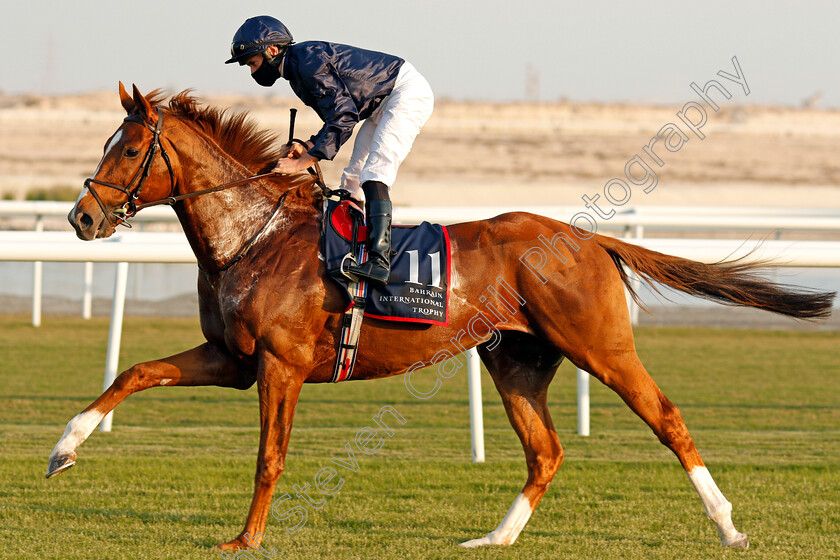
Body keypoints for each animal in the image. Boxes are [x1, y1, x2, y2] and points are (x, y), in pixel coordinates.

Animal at [50, 84, 832, 552]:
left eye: (127, 148)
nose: (80, 217)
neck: (255, 236)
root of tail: (587, 237)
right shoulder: (234, 360)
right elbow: (135, 371)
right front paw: (65, 448)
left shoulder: (280, 366)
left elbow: (269, 457)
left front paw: (246, 540)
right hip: (514, 359)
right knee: (546, 451)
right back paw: (495, 538)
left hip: (600, 347)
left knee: (666, 417)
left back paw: (727, 526)